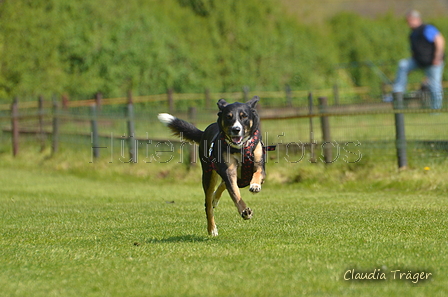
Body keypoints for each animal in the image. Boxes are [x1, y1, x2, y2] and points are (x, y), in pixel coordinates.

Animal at [158, 96, 270, 235]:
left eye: (244, 116)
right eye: (229, 117)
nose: (236, 129)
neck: (240, 148)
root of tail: (204, 132)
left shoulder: (259, 164)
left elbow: (257, 173)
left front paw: (255, 185)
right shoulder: (228, 170)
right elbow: (235, 193)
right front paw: (244, 211)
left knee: (223, 186)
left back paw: (215, 199)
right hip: (208, 175)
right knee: (208, 204)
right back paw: (211, 228)